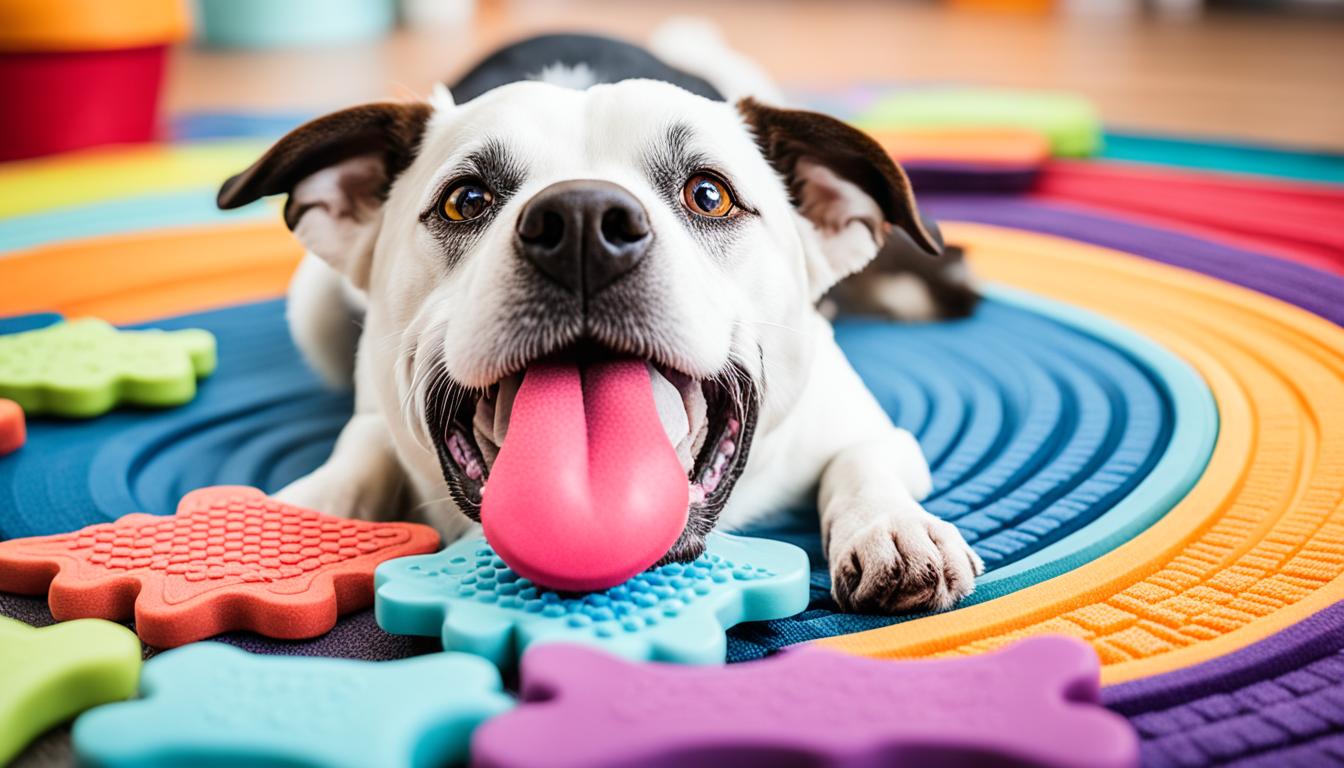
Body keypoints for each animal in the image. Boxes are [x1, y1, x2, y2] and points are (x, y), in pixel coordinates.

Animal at [215, 21, 983, 616]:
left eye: (709, 194)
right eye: (466, 200)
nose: (584, 222)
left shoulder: (863, 425)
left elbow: (864, 456)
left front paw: (891, 527)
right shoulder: (374, 411)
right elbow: (361, 447)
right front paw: (299, 518)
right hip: (312, 303)